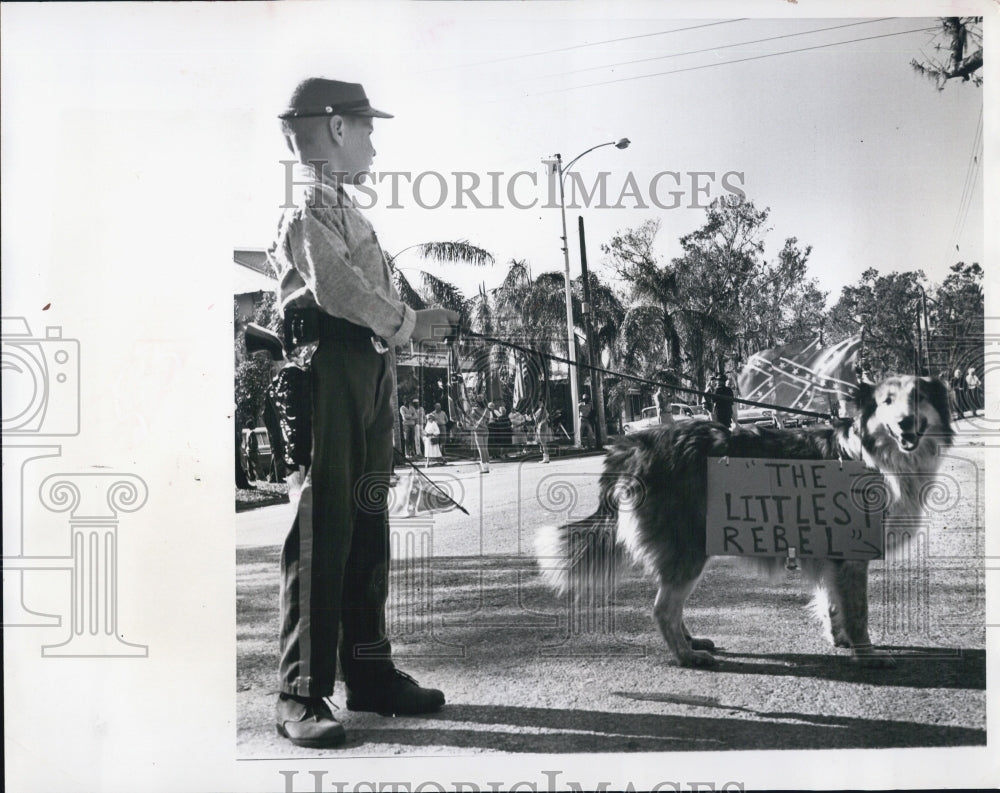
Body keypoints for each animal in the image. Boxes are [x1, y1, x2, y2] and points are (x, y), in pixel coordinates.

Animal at [540, 378, 952, 668]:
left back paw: (691, 642)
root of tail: (635, 443)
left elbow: (834, 603)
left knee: (669, 603)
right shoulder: (851, 557)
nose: (906, 423)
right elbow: (857, 613)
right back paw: (687, 657)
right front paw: (866, 654)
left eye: (918, 398)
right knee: (662, 608)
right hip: (691, 547)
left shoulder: (832, 556)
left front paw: (841, 641)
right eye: (886, 402)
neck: (876, 454)